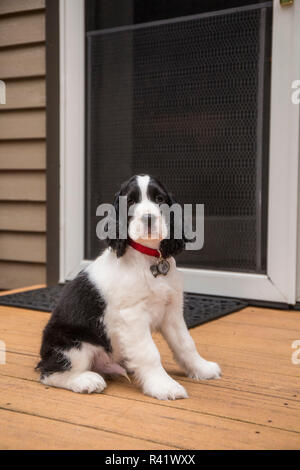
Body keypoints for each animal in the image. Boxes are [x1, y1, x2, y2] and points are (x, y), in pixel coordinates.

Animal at [37, 175, 220, 400]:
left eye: (159, 199)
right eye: (131, 201)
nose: (148, 219)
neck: (149, 258)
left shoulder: (172, 311)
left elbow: (185, 343)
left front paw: (202, 368)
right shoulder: (132, 315)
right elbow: (149, 352)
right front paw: (164, 386)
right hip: (71, 344)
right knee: (50, 372)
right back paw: (85, 381)